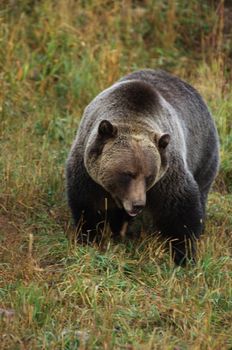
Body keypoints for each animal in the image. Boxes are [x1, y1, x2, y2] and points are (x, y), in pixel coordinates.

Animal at [65, 69, 219, 266]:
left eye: (149, 175)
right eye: (127, 173)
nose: (138, 204)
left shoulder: (166, 175)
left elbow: (180, 210)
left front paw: (183, 255)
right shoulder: (88, 173)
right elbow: (88, 205)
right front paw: (89, 239)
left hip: (204, 154)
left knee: (202, 189)